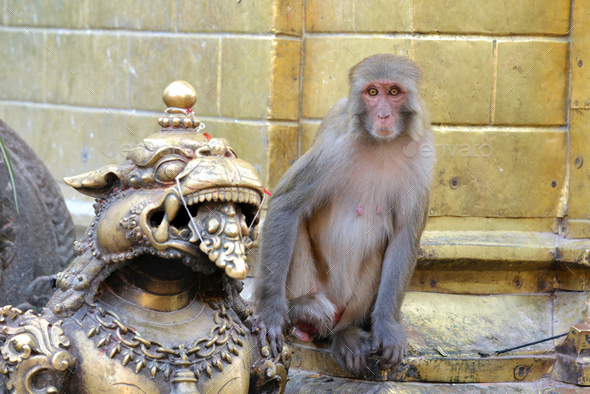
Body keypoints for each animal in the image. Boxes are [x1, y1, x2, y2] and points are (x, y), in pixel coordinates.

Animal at [252, 53, 438, 374]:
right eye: (372, 92)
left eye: (394, 92)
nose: (383, 115)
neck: (381, 144)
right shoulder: (333, 147)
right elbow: (286, 206)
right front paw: (270, 314)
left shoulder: (423, 156)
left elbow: (404, 237)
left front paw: (387, 326)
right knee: (295, 225)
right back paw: (302, 311)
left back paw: (345, 334)